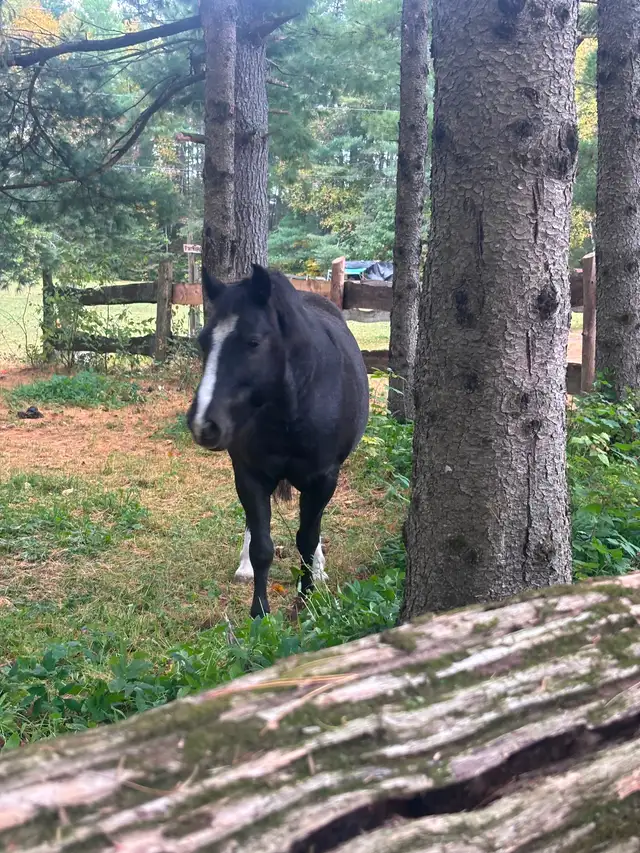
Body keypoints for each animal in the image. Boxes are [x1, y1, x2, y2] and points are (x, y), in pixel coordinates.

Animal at [186, 263, 369, 618]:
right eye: (204, 342)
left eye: (253, 342)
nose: (203, 424)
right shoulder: (250, 475)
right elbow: (262, 547)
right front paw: (259, 612)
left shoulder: (323, 480)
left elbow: (307, 540)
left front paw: (306, 600)